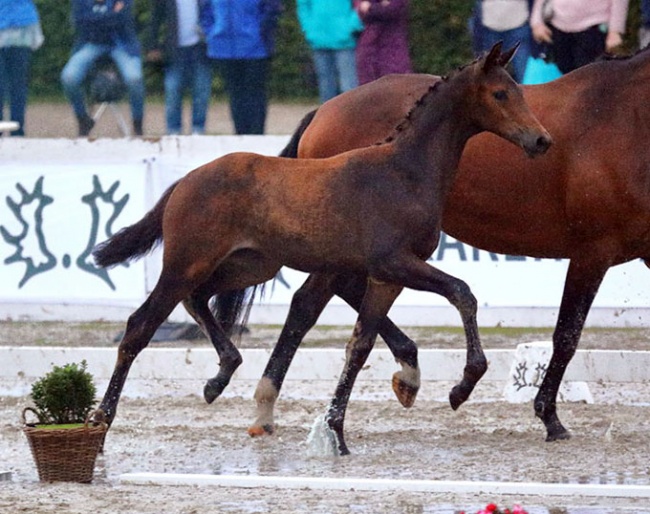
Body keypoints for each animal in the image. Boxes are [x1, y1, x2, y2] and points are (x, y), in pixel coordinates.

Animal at [91, 44, 548, 452]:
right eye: (501, 94)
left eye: (520, 91)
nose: (542, 140)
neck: (404, 171)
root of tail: (185, 182)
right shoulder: (396, 263)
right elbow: (462, 293)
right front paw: (462, 386)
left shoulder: (386, 276)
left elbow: (360, 346)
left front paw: (338, 432)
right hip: (186, 263)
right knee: (140, 326)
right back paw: (101, 421)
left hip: (249, 264)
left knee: (199, 298)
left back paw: (220, 376)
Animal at [248, 46, 650, 442]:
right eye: (501, 94)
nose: (541, 141)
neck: (626, 117)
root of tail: (324, 110)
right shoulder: (591, 253)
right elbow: (566, 336)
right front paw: (549, 417)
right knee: (310, 304)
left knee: (318, 301)